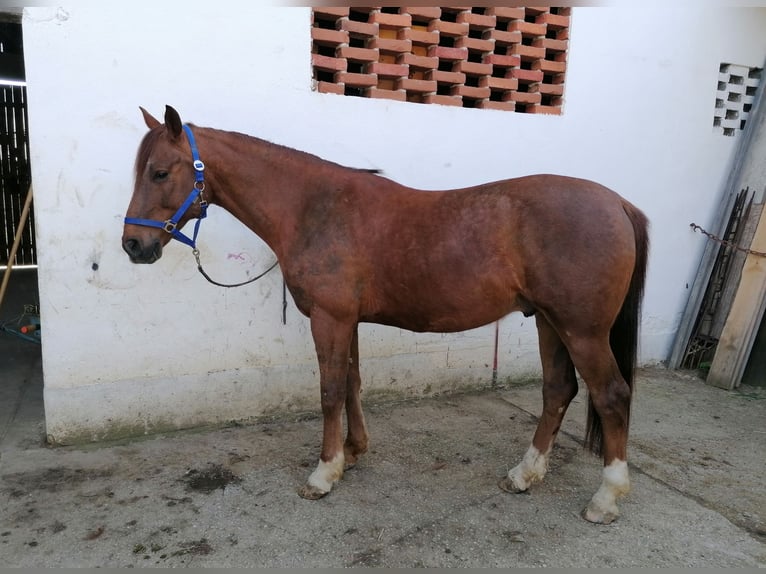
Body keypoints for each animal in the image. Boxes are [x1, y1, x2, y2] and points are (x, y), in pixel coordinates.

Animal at [122, 106, 649, 524]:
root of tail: (618, 203)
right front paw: (353, 453)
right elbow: (352, 383)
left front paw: (324, 473)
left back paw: (605, 499)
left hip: (582, 330)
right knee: (558, 390)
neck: (314, 209)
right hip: (548, 321)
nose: (133, 245)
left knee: (612, 396)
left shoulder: (329, 319)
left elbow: (330, 391)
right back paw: (525, 474)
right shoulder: (348, 320)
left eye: (160, 173)